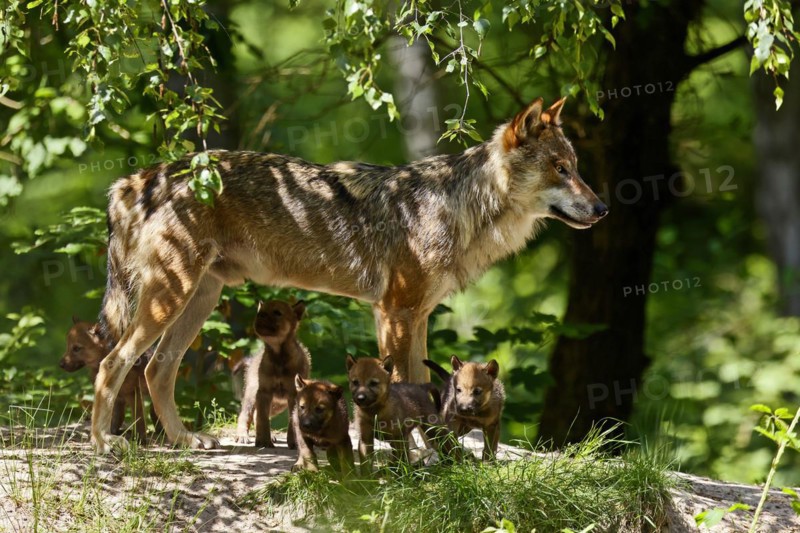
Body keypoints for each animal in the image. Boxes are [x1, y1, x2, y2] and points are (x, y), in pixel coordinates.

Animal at [89, 97, 607, 453]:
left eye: (577, 169)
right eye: (560, 169)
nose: (603, 208)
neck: (460, 209)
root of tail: (137, 178)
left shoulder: (417, 317)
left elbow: (425, 387)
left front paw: (440, 451)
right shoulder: (395, 313)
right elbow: (404, 389)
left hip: (198, 299)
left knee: (155, 370)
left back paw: (184, 441)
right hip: (171, 298)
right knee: (112, 363)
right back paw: (103, 444)